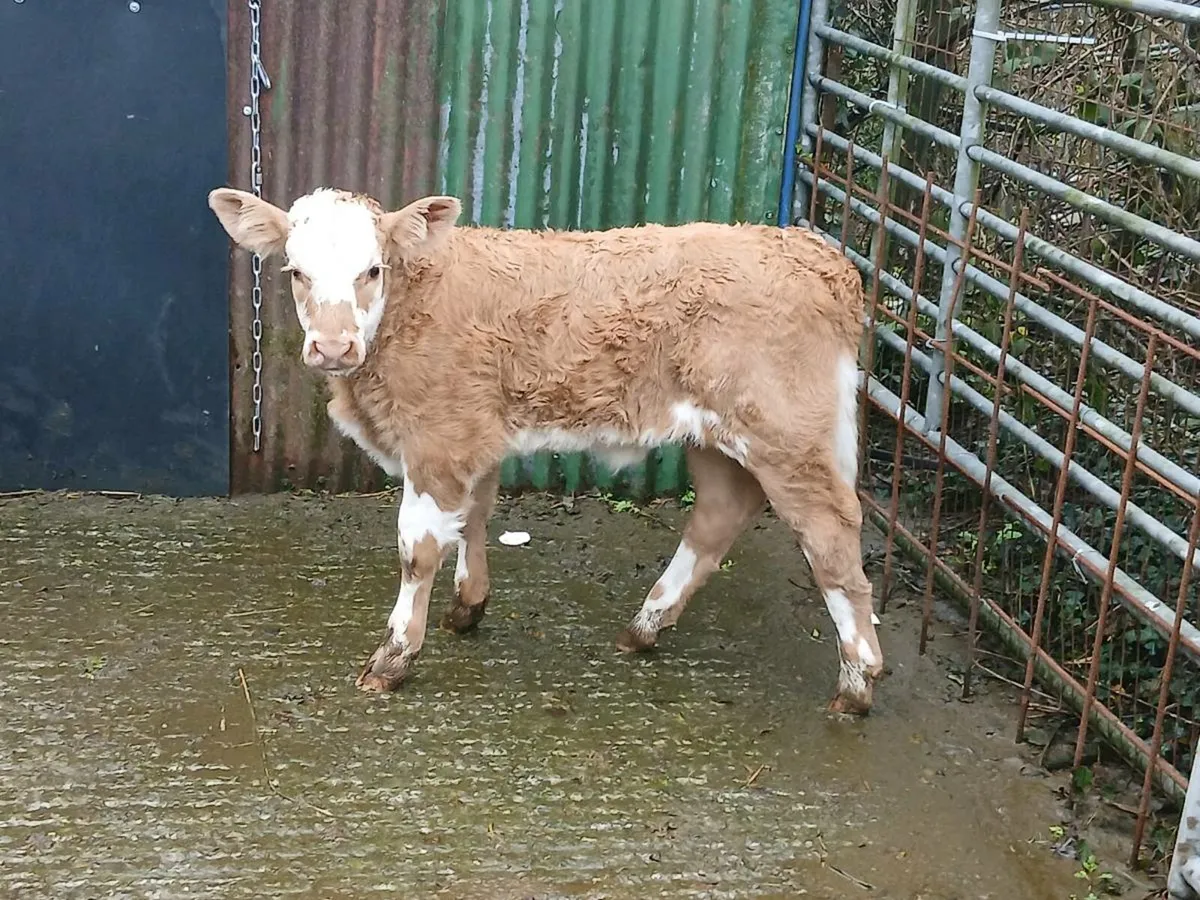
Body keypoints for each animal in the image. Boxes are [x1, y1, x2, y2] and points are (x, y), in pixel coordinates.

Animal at [207, 186, 885, 714]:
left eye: (372, 270)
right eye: (295, 271)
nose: (332, 346)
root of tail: (812, 251)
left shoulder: (438, 439)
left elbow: (417, 551)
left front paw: (394, 657)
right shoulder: (475, 431)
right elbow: (475, 516)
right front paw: (468, 608)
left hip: (786, 434)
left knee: (829, 532)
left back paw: (858, 681)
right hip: (717, 438)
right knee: (721, 514)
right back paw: (645, 626)